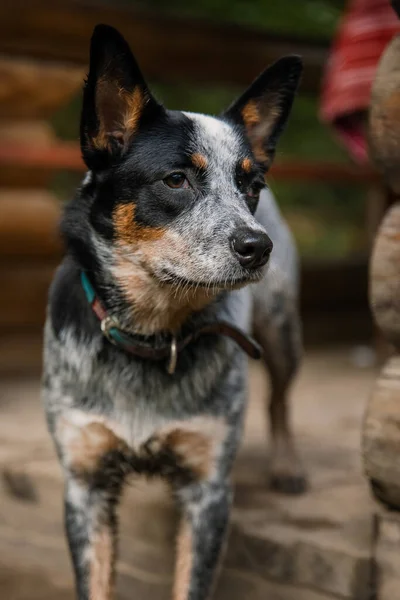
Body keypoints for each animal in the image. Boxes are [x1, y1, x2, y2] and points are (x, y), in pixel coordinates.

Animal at [41, 23, 306, 600]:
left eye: (251, 187)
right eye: (176, 179)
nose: (258, 246)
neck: (153, 333)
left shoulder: (209, 491)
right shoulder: (84, 484)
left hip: (281, 331)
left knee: (279, 398)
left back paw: (287, 466)